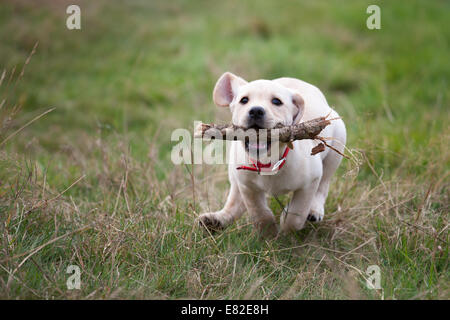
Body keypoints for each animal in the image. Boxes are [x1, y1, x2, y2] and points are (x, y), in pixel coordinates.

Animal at [200, 73, 348, 238]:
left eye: (277, 101)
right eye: (244, 100)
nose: (256, 111)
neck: (268, 162)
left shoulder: (310, 182)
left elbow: (297, 213)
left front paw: (286, 228)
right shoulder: (247, 186)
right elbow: (259, 212)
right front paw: (268, 234)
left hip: (335, 151)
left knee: (323, 185)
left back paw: (314, 210)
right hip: (234, 173)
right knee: (235, 199)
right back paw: (216, 220)